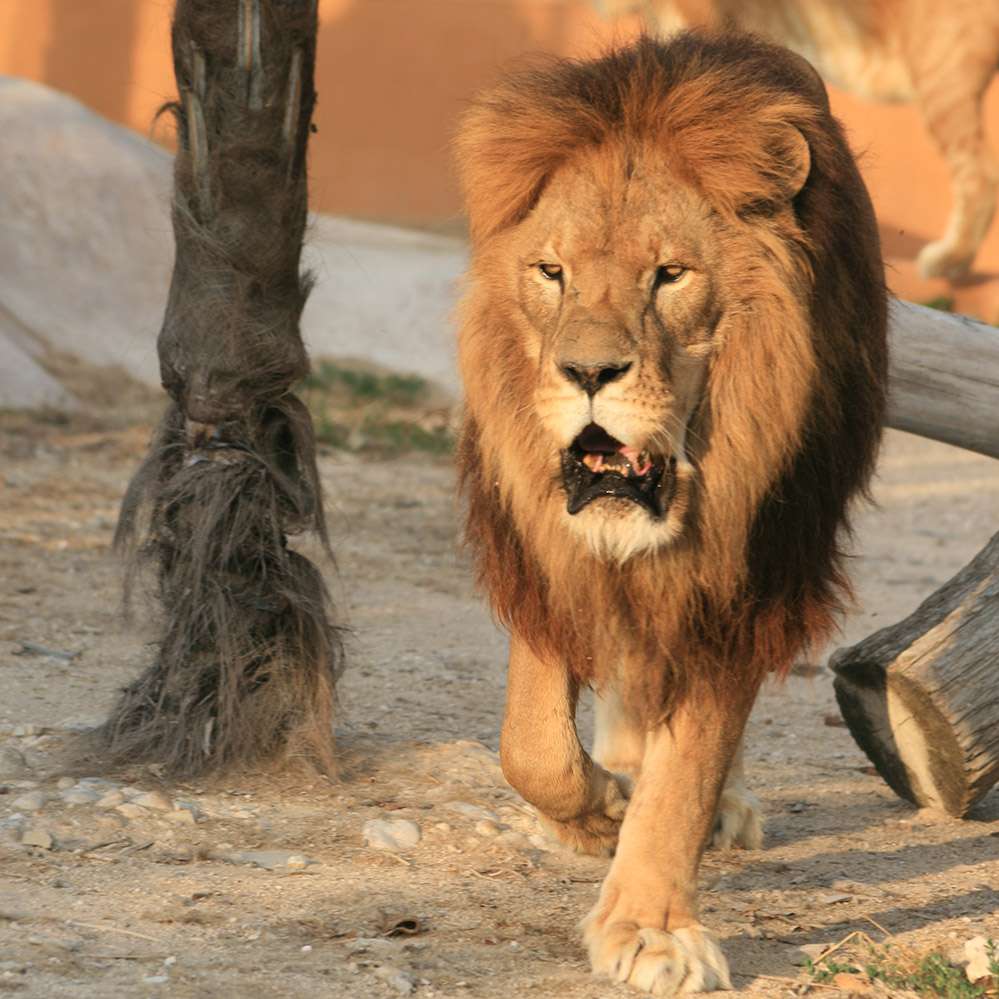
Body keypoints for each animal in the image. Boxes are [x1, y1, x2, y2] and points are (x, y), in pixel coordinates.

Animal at [455, 32, 887, 995]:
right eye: (551, 272)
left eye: (669, 275)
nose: (587, 372)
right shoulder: (543, 548)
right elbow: (531, 744)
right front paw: (594, 814)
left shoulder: (744, 576)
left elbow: (687, 766)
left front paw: (650, 927)